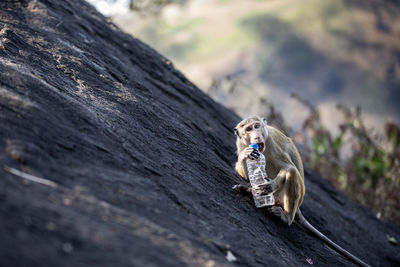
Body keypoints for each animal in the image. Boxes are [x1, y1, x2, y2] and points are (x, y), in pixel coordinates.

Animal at [233, 115, 370, 267]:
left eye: (257, 126)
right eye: (248, 129)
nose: (256, 137)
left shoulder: (273, 145)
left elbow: (289, 169)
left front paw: (271, 185)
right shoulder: (240, 144)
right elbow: (244, 169)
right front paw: (245, 156)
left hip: (286, 198)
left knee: (293, 175)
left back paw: (286, 217)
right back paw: (249, 189)